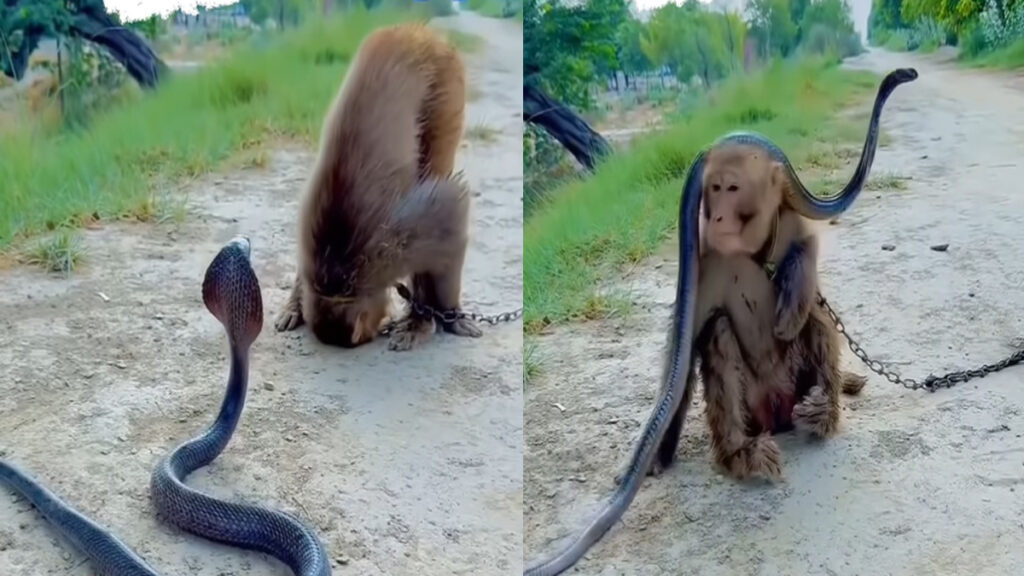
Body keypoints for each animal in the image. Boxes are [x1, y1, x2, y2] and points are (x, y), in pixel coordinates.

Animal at [273, 23, 482, 351]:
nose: (374, 329)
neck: (334, 271)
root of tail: (414, 31)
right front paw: (295, 304)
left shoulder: (387, 249)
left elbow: (450, 223)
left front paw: (435, 317)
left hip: (446, 79)